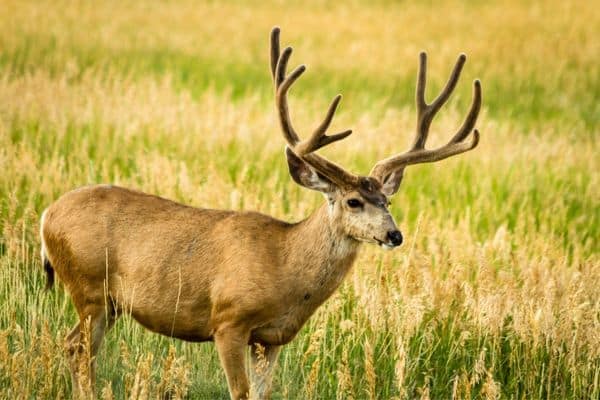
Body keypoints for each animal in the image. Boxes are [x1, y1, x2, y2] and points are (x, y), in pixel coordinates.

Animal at [39, 28, 480, 400]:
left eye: (387, 202)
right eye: (353, 201)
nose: (394, 235)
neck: (284, 265)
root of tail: (46, 216)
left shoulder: (272, 338)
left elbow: (263, 394)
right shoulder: (228, 320)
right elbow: (240, 392)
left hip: (109, 302)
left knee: (72, 347)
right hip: (89, 286)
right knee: (78, 349)